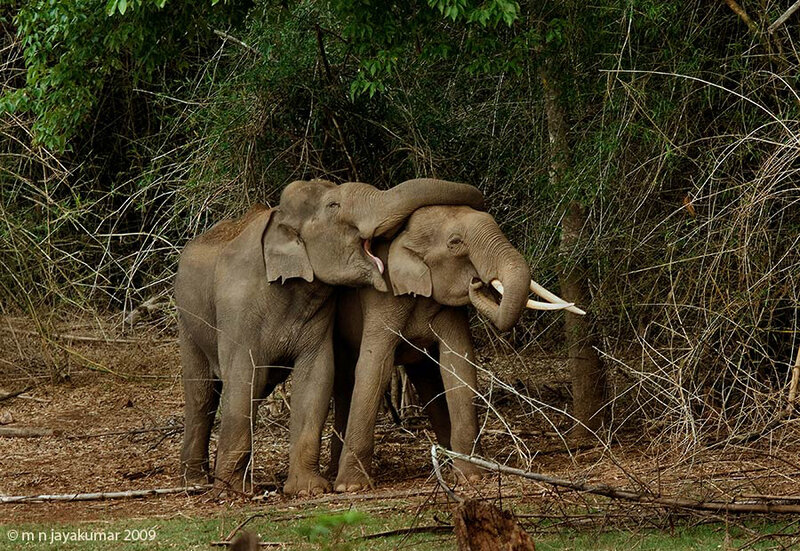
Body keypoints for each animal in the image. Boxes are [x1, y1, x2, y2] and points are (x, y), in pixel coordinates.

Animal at [175, 178, 484, 496]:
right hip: (187, 323)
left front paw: (307, 490)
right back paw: (196, 482)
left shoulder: (320, 315)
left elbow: (317, 376)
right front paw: (232, 491)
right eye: (334, 205)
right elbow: (242, 376)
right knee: (202, 394)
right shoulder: (238, 308)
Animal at [330, 204, 583, 492]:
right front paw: (350, 488)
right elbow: (374, 367)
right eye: (455, 242)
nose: (476, 282)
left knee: (426, 377)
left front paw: (471, 477)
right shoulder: (382, 298)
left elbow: (458, 363)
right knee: (344, 382)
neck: (404, 236)